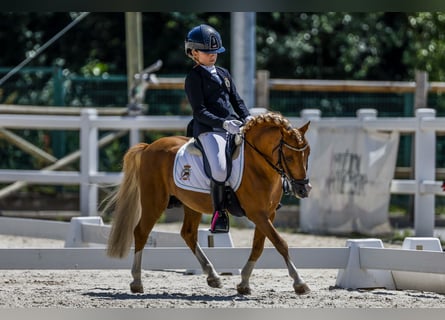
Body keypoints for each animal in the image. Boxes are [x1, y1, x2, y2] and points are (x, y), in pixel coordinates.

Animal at [105, 112, 312, 296]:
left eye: (308, 154)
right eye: (289, 156)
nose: (304, 189)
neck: (258, 165)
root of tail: (149, 146)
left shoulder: (268, 213)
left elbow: (258, 246)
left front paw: (244, 283)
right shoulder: (257, 214)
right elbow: (280, 243)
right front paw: (300, 283)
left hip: (191, 203)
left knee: (188, 234)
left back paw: (213, 277)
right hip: (154, 201)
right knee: (141, 232)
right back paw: (137, 282)